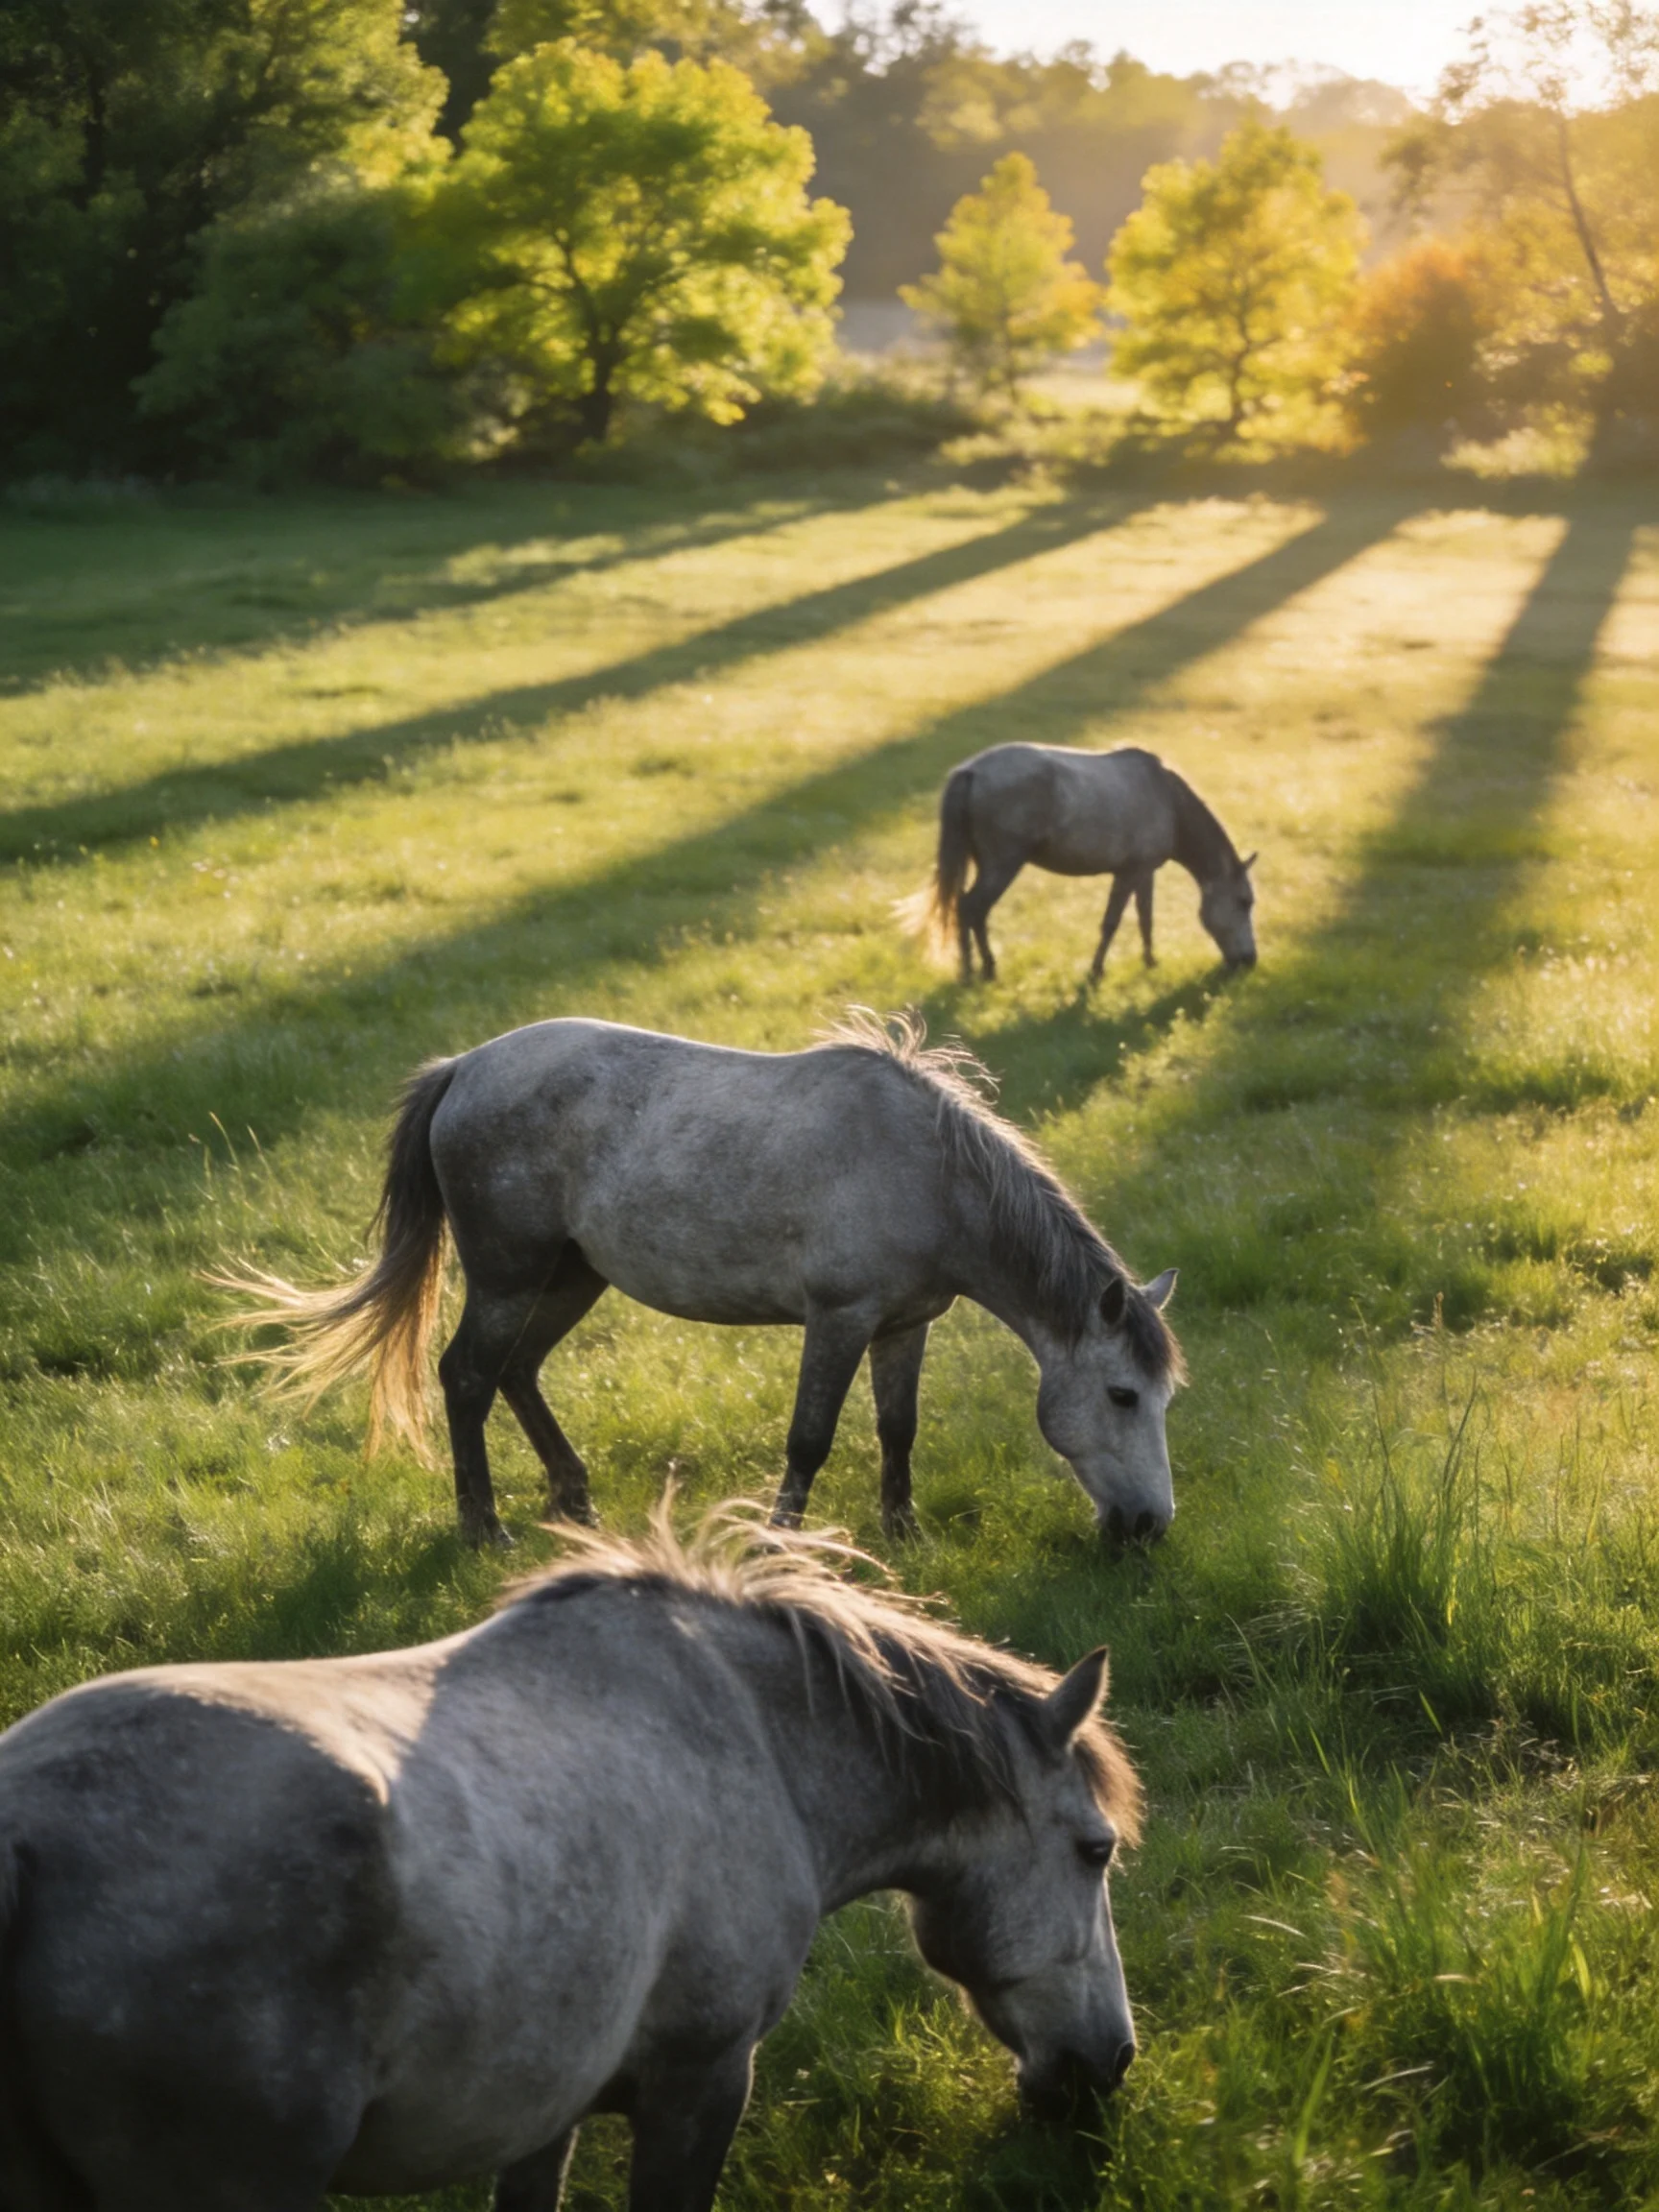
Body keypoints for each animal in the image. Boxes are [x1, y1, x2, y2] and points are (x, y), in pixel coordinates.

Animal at [0, 1507, 1144, 2212]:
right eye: (1095, 1851)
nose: (1111, 2061)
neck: (753, 1734)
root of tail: (29, 1836)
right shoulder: (702, 2080)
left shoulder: (541, 2104)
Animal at [225, 1013, 1182, 1548]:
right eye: (1123, 1395)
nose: (1149, 1529)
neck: (926, 1171)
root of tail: (462, 1068)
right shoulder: (839, 1319)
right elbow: (810, 1438)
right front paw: (779, 1542)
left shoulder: (906, 1325)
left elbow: (897, 1429)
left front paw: (904, 1532)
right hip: (508, 1277)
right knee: (466, 1377)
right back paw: (484, 1527)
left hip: (571, 1279)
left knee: (518, 1372)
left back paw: (573, 1500)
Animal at [913, 743, 1258, 984]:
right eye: (1244, 902)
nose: (1249, 960)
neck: (1167, 801)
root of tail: (971, 772)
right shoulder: (1129, 873)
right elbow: (1112, 922)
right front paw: (1095, 972)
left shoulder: (1144, 872)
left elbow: (1145, 918)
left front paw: (1150, 962)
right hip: (1002, 866)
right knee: (970, 908)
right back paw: (972, 973)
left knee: (971, 910)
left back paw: (985, 969)